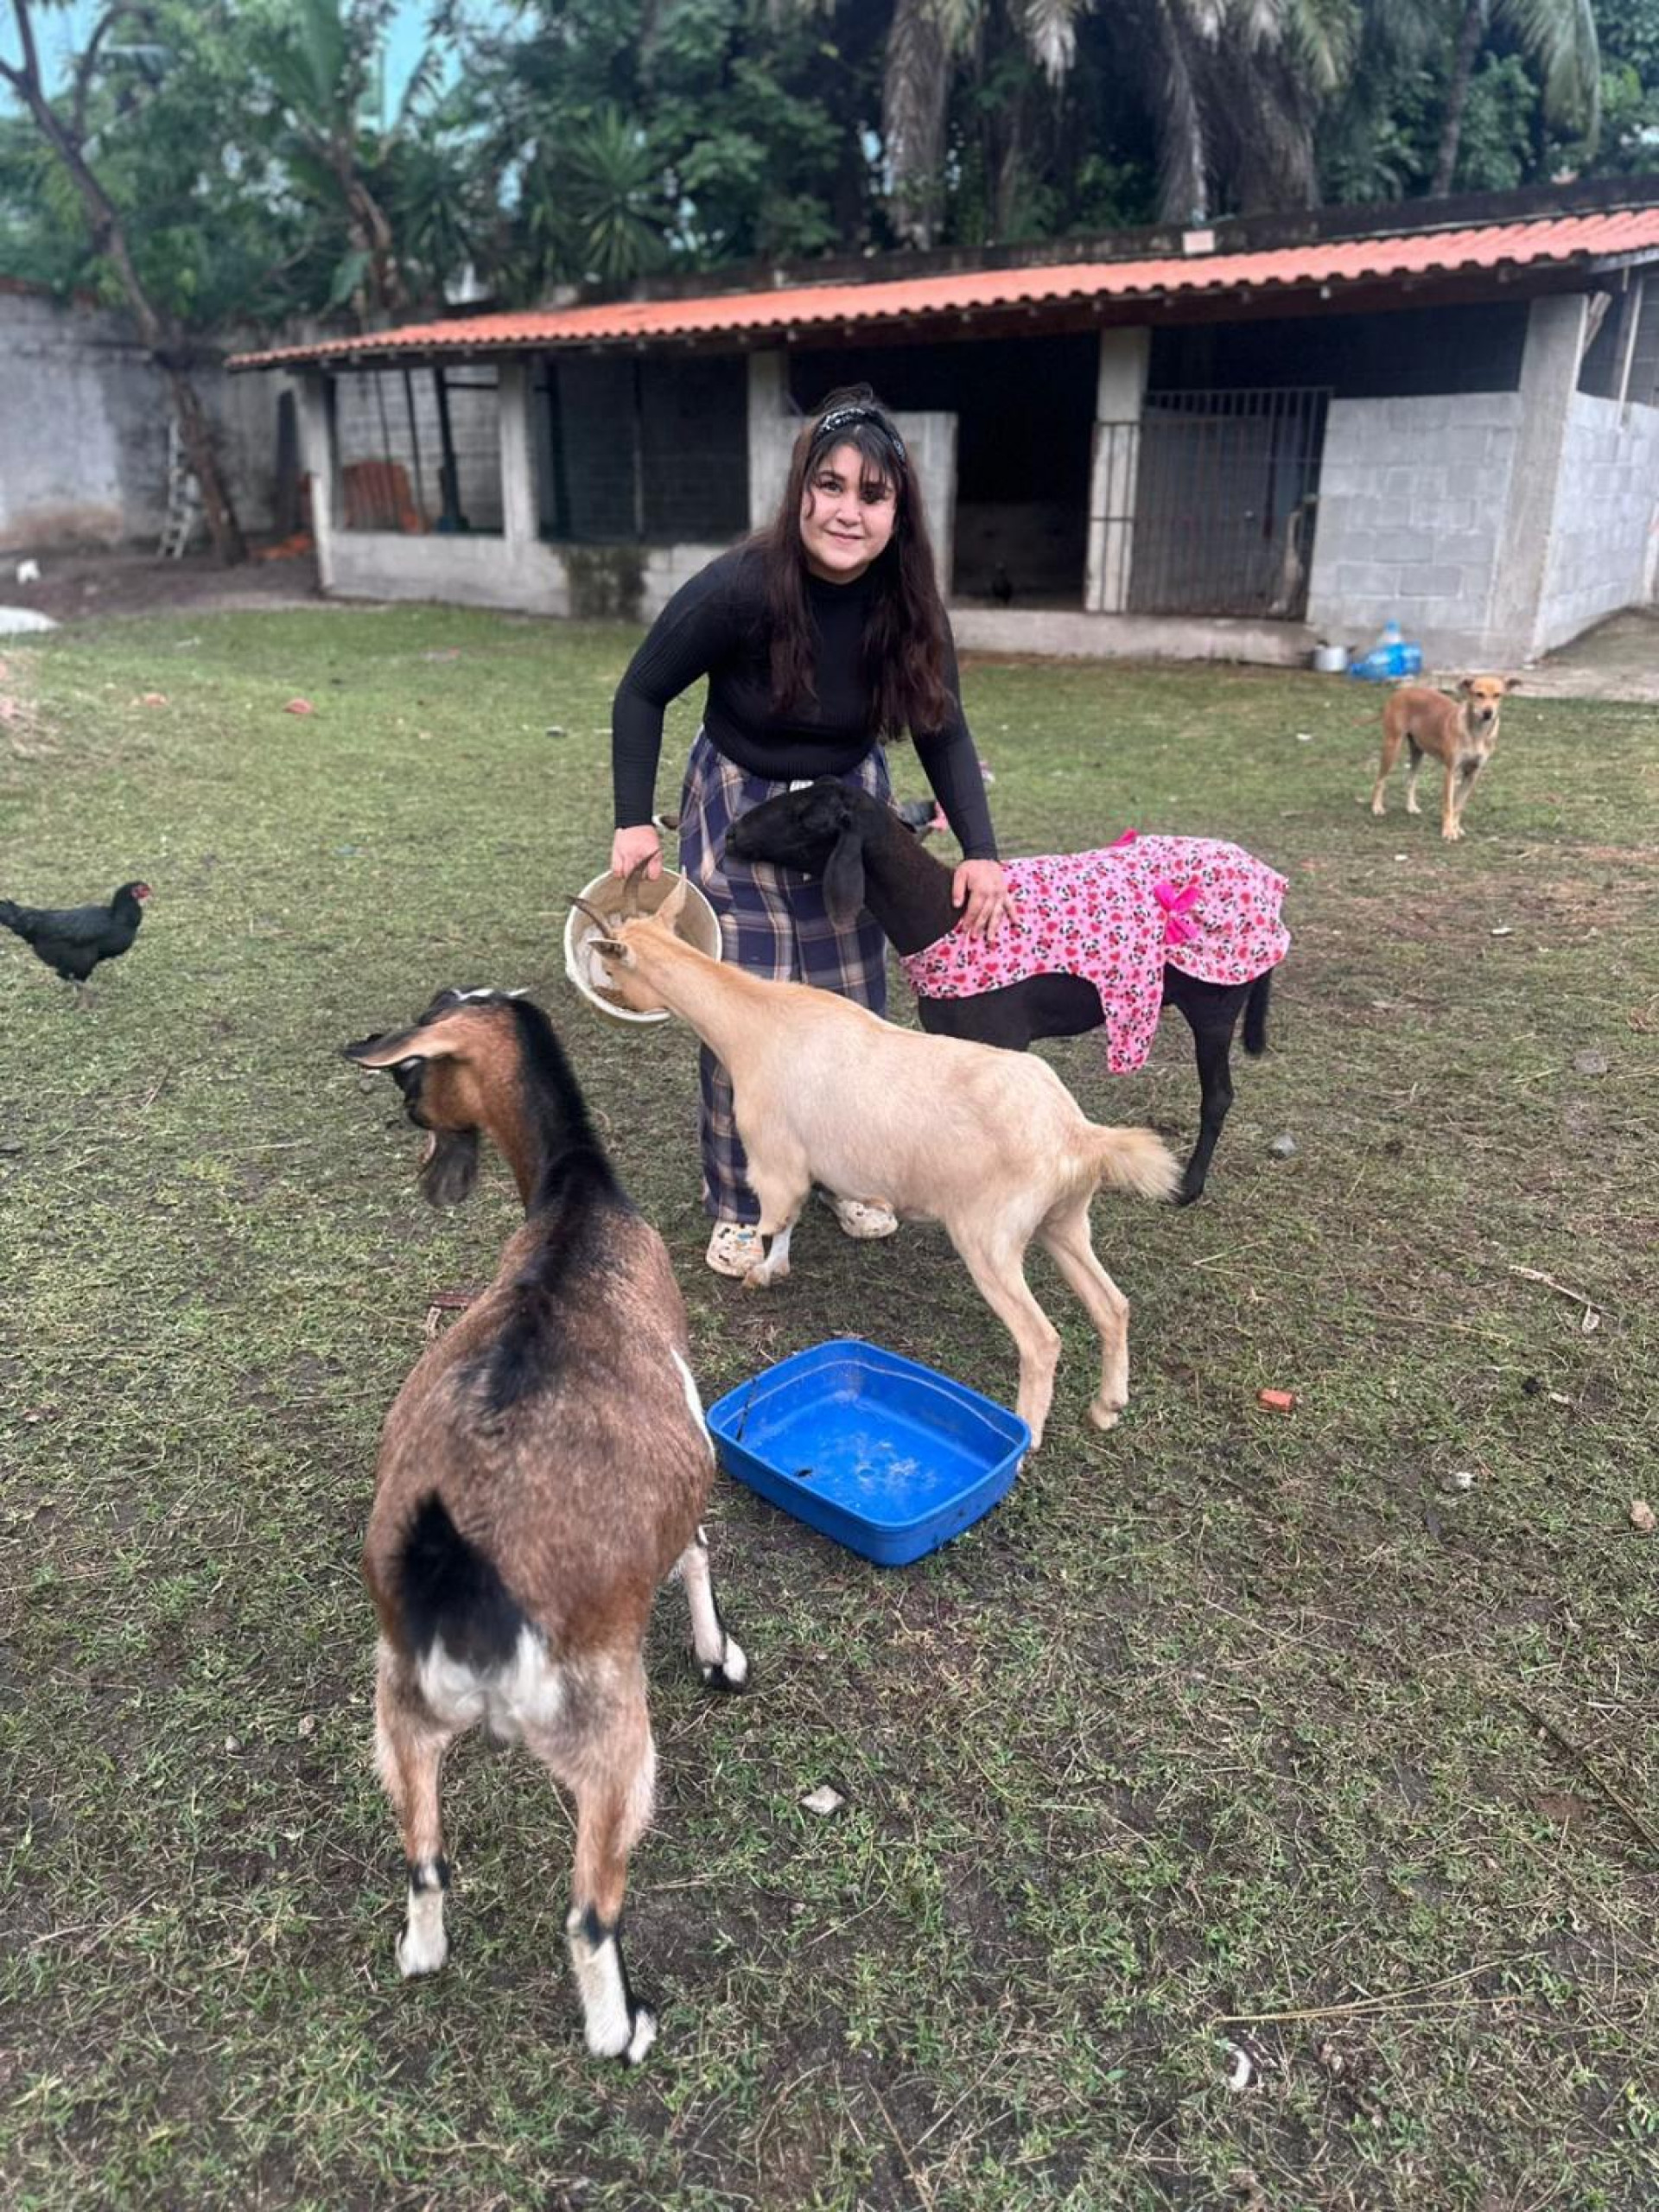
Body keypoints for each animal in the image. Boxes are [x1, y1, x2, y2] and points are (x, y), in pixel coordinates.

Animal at [343, 987, 748, 2065]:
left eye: (411, 1075)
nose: (422, 1160)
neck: (576, 1202)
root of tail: (467, 1583)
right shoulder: (691, 1444)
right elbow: (697, 1550)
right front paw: (720, 1655)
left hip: (399, 1712)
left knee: (427, 1867)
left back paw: (421, 1950)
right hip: (612, 1743)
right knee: (589, 1914)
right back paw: (625, 2028)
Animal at [577, 883, 1181, 1450]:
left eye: (612, 963)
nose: (608, 994)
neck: (756, 1022)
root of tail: (1077, 1135)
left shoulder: (775, 1158)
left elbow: (779, 1217)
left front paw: (761, 1271)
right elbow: (794, 1217)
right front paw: (775, 1268)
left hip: (990, 1236)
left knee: (1042, 1338)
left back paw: (1026, 1435)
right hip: (1064, 1221)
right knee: (1112, 1305)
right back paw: (1107, 1407)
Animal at [723, 781, 1289, 1205]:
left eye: (805, 815)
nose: (731, 832)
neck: (939, 913)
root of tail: (1270, 885)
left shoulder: (1002, 1034)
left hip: (1216, 998)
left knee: (1219, 1095)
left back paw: (1187, 1189)